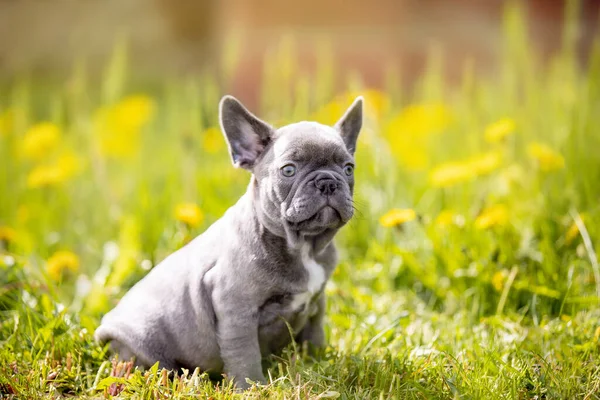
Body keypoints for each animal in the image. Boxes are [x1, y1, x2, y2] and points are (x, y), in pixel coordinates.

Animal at [96, 93, 364, 388]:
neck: (304, 245)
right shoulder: (236, 309)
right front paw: (252, 387)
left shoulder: (317, 302)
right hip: (139, 344)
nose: (328, 182)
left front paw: (319, 362)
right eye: (289, 170)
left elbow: (314, 334)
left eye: (349, 168)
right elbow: (244, 353)